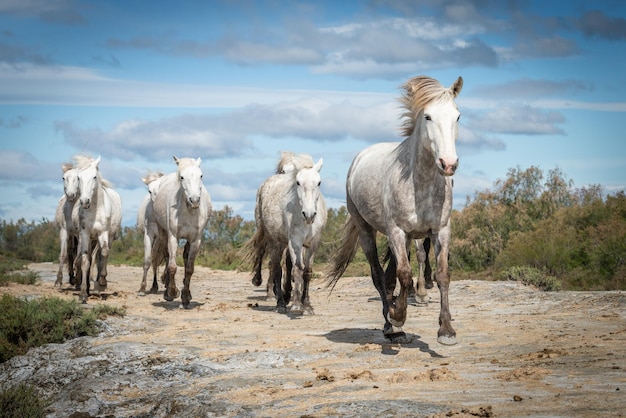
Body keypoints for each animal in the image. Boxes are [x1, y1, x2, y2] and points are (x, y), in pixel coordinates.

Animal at [75, 155, 122, 302]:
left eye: (94, 177)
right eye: (78, 177)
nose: (84, 201)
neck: (95, 210)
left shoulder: (103, 233)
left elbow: (104, 253)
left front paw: (101, 282)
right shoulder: (85, 234)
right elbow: (85, 259)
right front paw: (83, 293)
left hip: (109, 236)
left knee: (102, 255)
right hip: (91, 238)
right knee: (91, 257)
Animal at [152, 156, 211, 306]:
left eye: (201, 175)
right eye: (182, 177)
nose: (194, 200)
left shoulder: (196, 240)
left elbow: (189, 268)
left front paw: (185, 296)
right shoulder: (173, 237)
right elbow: (172, 266)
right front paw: (172, 292)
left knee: (185, 256)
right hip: (163, 233)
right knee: (167, 256)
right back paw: (167, 290)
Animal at [241, 153, 324, 314]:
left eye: (318, 182)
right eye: (298, 182)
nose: (309, 214)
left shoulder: (313, 243)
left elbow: (307, 271)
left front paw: (307, 305)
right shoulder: (294, 242)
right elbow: (296, 268)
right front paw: (296, 303)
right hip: (272, 239)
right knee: (274, 266)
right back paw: (278, 301)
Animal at [330, 76, 460, 346]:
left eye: (457, 116)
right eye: (428, 117)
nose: (448, 164)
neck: (420, 182)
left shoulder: (440, 231)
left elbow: (442, 275)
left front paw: (446, 331)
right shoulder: (398, 232)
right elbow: (404, 275)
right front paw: (398, 316)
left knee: (389, 278)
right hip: (367, 230)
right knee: (379, 275)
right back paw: (391, 327)